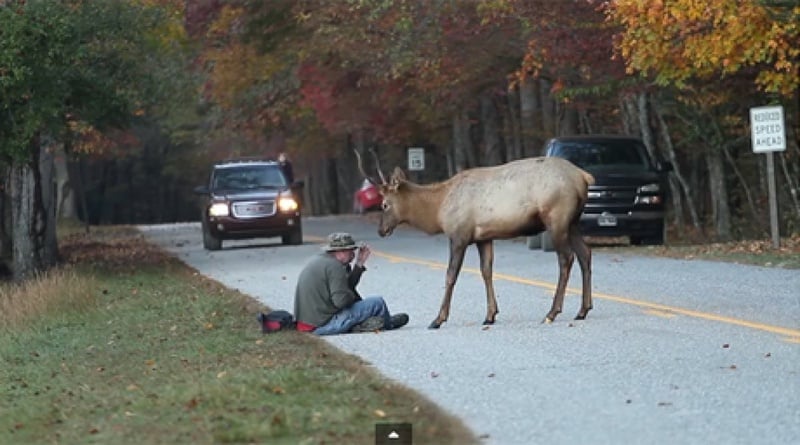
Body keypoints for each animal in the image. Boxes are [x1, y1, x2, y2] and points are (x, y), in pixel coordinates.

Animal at [356, 151, 592, 328]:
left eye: (385, 204)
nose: (381, 230)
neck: (438, 211)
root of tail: (583, 177)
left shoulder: (459, 235)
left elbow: (450, 275)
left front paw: (438, 319)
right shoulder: (483, 238)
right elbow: (486, 271)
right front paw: (490, 315)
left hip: (557, 218)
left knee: (566, 258)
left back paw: (551, 313)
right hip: (573, 222)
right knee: (585, 253)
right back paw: (582, 310)